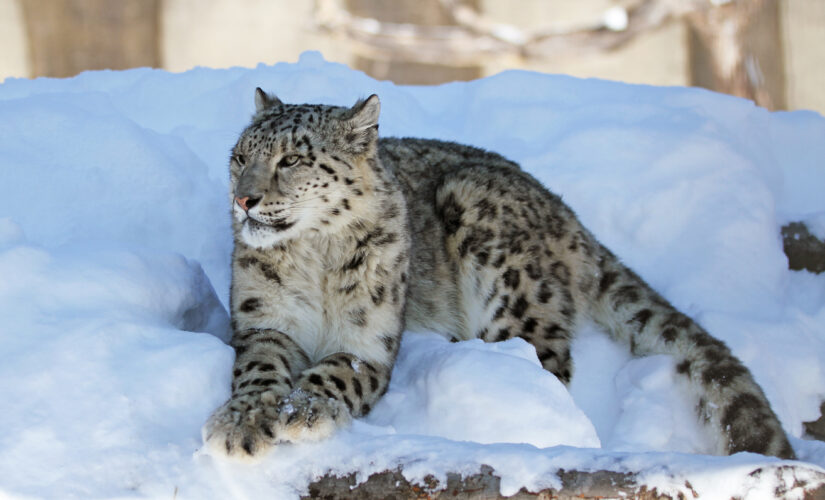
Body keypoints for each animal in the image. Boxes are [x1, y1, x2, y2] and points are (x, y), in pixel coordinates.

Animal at [203, 88, 796, 458]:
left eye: (292, 160)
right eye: (239, 156)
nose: (243, 198)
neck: (316, 261)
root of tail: (573, 220)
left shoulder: (369, 340)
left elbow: (335, 372)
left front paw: (301, 411)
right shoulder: (263, 321)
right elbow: (259, 369)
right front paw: (239, 425)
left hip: (501, 265)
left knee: (544, 367)